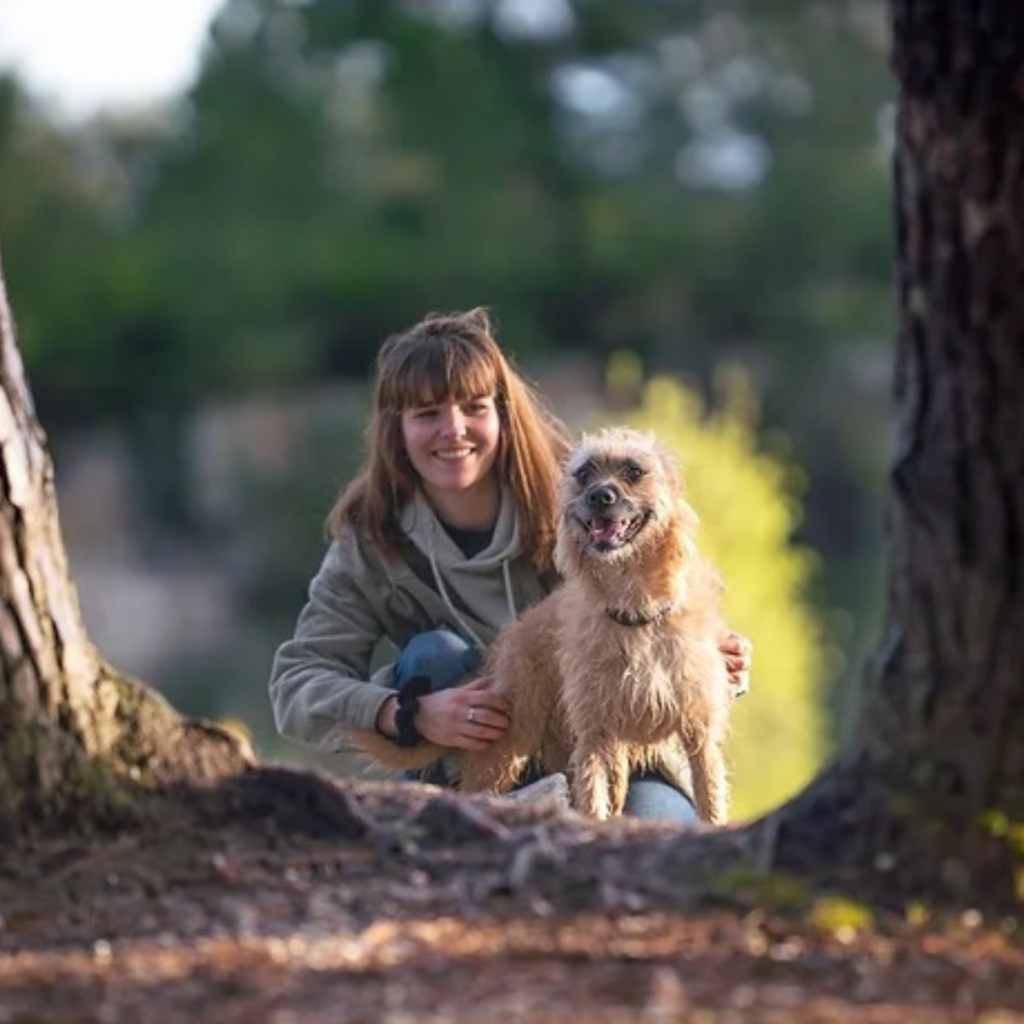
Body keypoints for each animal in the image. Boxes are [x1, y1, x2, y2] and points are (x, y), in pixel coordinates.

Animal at [354, 428, 737, 827]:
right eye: (584, 473)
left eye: (634, 471)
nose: (599, 496)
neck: (634, 610)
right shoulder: (594, 737)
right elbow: (594, 803)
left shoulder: (698, 736)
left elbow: (710, 803)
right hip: (506, 745)